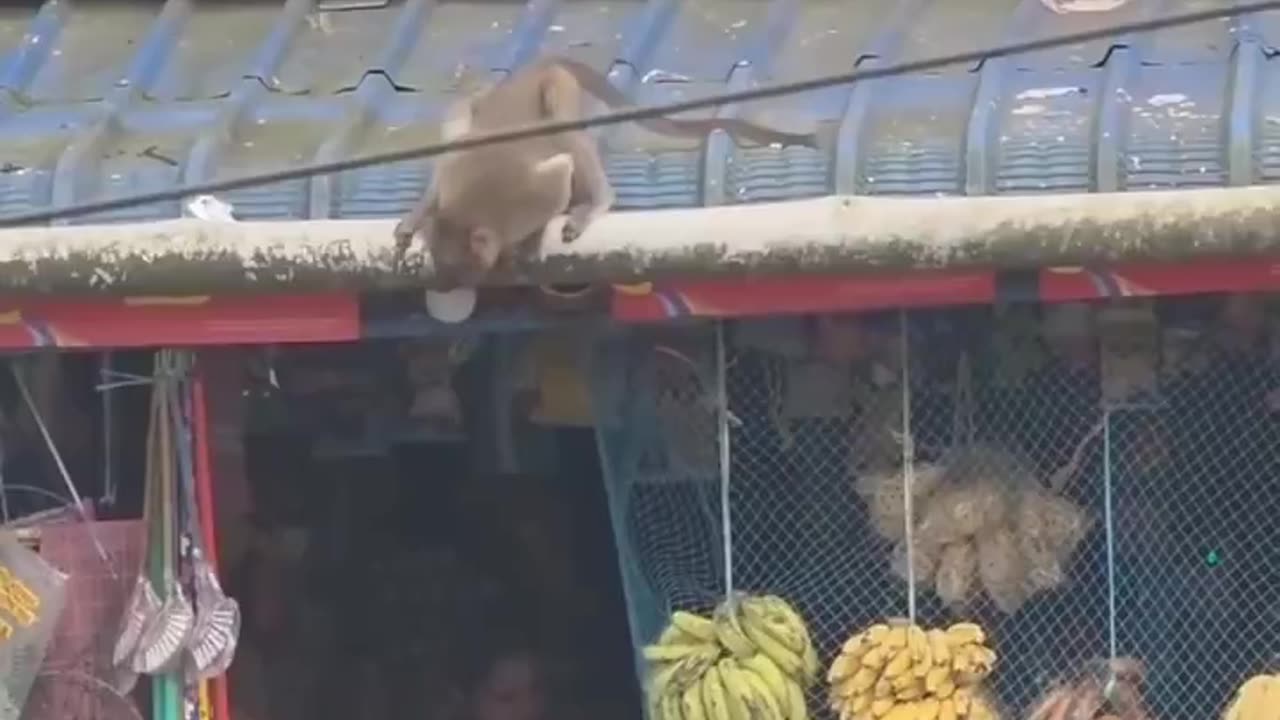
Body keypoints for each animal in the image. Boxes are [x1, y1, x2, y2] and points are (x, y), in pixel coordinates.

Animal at [393, 56, 823, 289]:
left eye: (460, 270)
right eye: (445, 271)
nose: (452, 287)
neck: (472, 212)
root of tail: (535, 68)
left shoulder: (526, 200)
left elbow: (557, 178)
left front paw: (530, 241)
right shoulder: (455, 181)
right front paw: (416, 218)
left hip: (558, 88)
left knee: (562, 123)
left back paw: (596, 201)